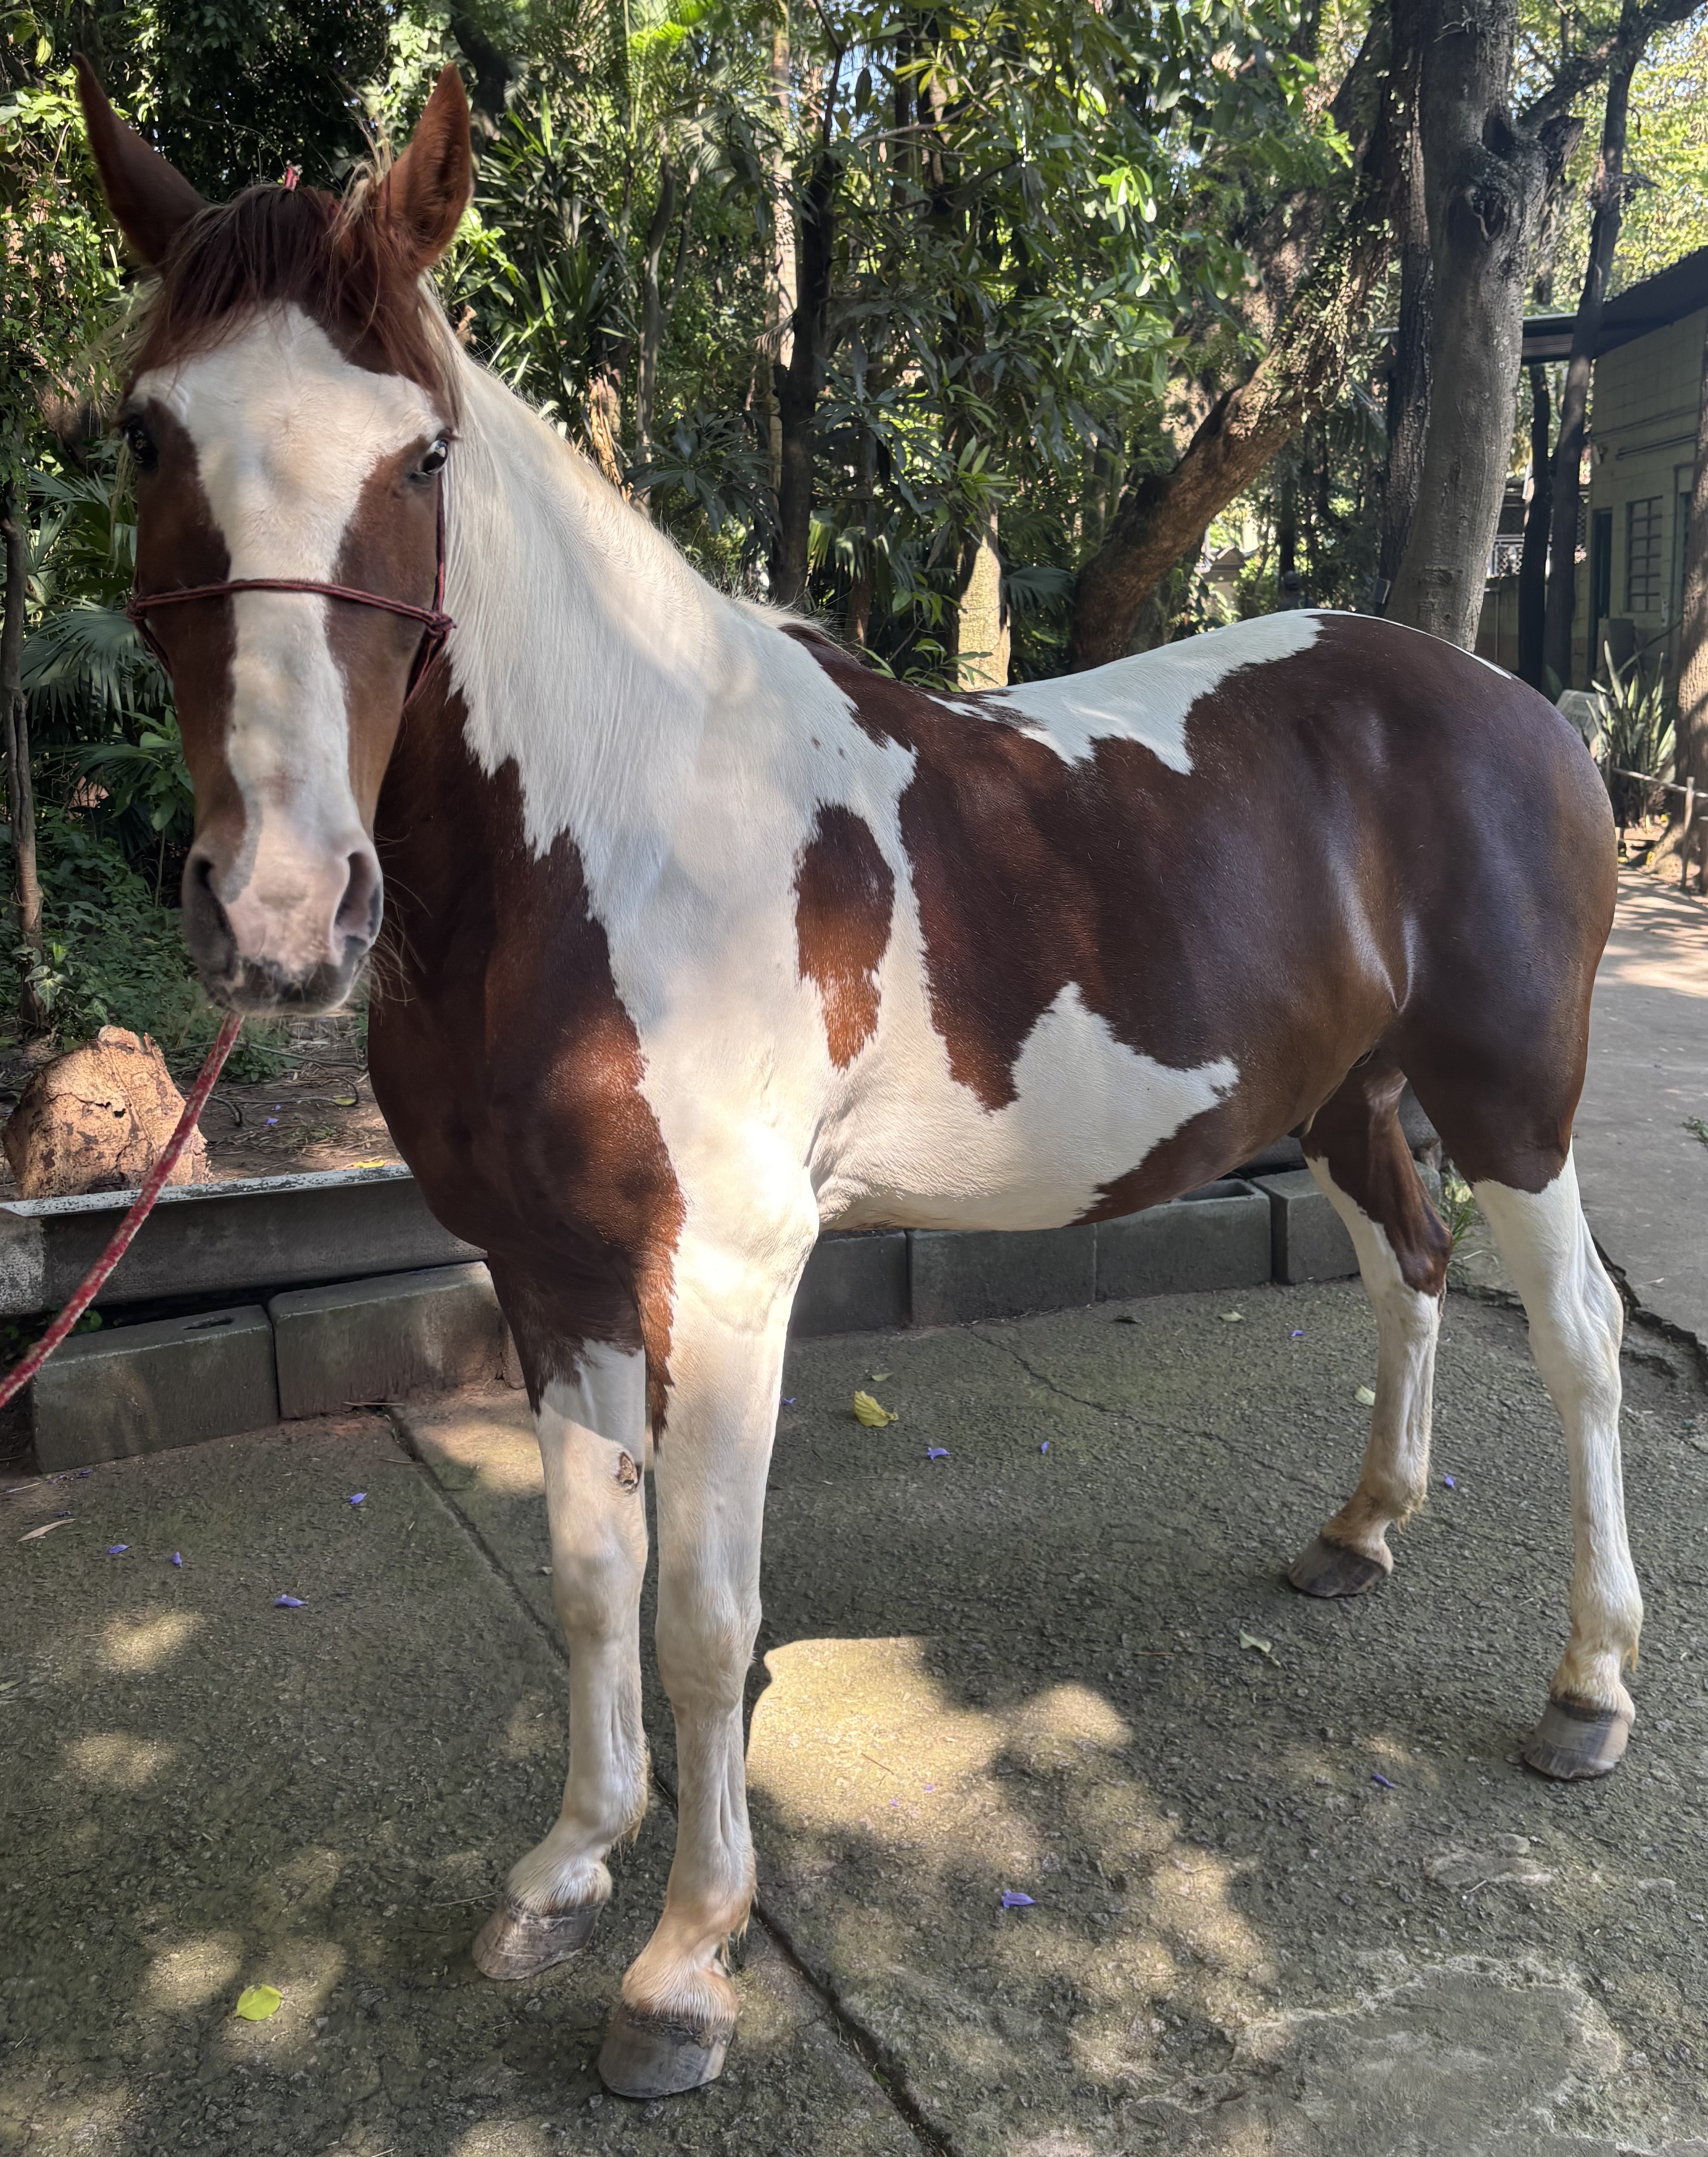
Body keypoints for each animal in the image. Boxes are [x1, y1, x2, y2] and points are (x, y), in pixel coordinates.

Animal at [77, 61, 1641, 2101]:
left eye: (419, 457)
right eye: (145, 436)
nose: (277, 909)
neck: (617, 838)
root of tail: (1522, 705)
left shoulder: (729, 1277)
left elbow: (699, 1612)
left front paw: (682, 1969)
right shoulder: (546, 1271)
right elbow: (588, 1579)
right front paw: (566, 1867)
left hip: (1511, 1098)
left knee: (1581, 1342)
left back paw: (1587, 1689)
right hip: (1345, 1097)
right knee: (1407, 1270)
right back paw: (1358, 1533)